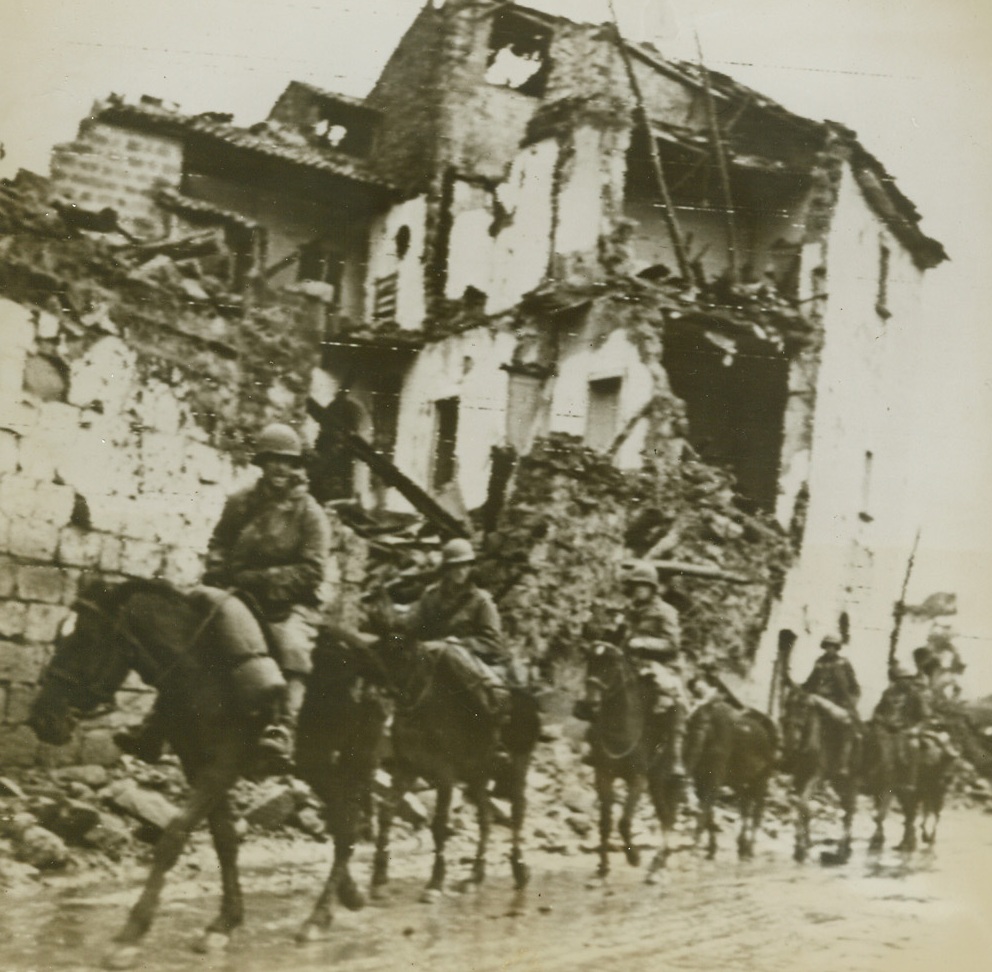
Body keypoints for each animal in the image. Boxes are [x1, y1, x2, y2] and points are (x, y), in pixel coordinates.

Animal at [27, 580, 384, 968]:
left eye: (85, 639)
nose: (42, 719)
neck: (201, 671)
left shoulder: (223, 765)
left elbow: (174, 836)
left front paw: (130, 935)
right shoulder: (196, 764)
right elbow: (224, 840)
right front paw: (224, 923)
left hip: (335, 758)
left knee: (346, 823)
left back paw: (317, 919)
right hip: (315, 763)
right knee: (343, 822)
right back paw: (348, 896)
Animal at [364, 636, 540, 900]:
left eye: (402, 655)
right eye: (380, 649)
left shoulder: (444, 776)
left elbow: (439, 825)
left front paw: (435, 882)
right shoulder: (407, 768)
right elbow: (386, 812)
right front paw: (378, 877)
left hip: (517, 769)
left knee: (518, 812)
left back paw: (519, 869)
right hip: (476, 778)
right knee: (486, 818)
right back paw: (475, 876)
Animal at [580, 640, 680, 884]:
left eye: (611, 664)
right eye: (589, 661)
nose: (588, 706)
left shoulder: (638, 779)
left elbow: (624, 822)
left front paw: (634, 857)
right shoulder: (603, 776)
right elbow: (605, 823)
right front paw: (602, 870)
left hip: (660, 782)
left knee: (667, 818)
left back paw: (657, 869)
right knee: (666, 817)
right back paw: (658, 866)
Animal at [684, 700, 780, 860]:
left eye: (705, 728)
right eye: (688, 729)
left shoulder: (715, 771)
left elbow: (705, 806)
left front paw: (695, 849)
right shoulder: (702, 778)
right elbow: (708, 808)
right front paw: (711, 849)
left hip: (762, 778)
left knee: (757, 809)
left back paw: (749, 850)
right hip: (739, 780)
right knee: (745, 805)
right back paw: (742, 847)